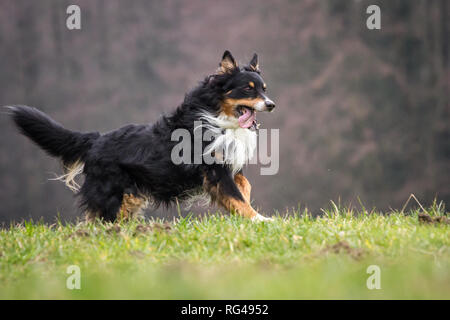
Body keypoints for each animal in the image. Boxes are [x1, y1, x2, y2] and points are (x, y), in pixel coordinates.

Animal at [8, 51, 276, 221]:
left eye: (264, 89)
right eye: (247, 89)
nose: (271, 105)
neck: (218, 116)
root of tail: (96, 139)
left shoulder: (229, 164)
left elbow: (244, 187)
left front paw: (248, 213)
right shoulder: (215, 170)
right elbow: (236, 196)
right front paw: (260, 220)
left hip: (129, 198)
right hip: (112, 195)